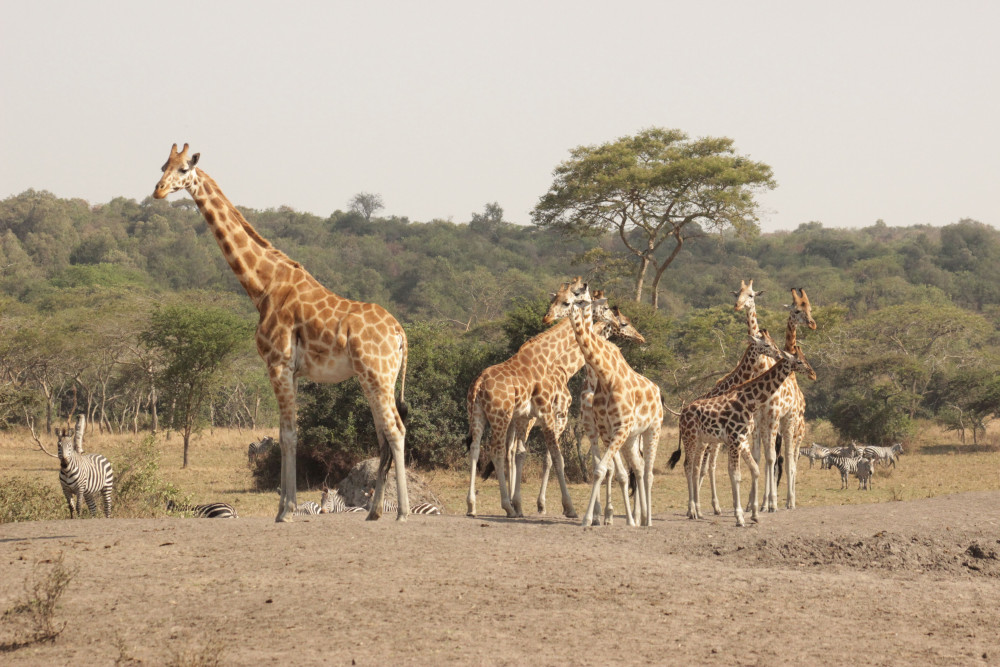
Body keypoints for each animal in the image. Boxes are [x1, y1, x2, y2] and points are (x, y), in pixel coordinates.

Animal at [152, 145, 410, 520]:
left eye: (184, 168)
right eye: (163, 165)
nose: (157, 190)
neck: (263, 286)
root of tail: (400, 333)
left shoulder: (277, 363)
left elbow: (287, 435)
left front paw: (284, 510)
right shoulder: (293, 370)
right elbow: (287, 433)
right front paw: (285, 506)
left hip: (377, 374)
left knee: (395, 429)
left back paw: (402, 511)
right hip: (373, 378)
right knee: (383, 434)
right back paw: (374, 511)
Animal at [564, 298, 664, 528]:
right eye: (624, 323)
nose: (640, 337)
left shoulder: (612, 430)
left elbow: (614, 471)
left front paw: (609, 515)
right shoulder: (593, 429)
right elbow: (604, 467)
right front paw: (600, 516)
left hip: (646, 433)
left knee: (643, 470)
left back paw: (643, 517)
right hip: (630, 437)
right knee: (637, 467)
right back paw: (638, 516)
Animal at [668, 344, 816, 528]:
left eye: (805, 359)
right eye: (799, 361)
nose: (812, 373)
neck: (749, 400)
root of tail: (682, 414)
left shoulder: (742, 439)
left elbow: (754, 470)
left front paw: (754, 514)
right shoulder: (734, 439)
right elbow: (735, 474)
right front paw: (739, 516)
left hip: (702, 440)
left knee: (695, 467)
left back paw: (697, 510)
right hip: (691, 438)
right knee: (688, 466)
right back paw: (693, 511)